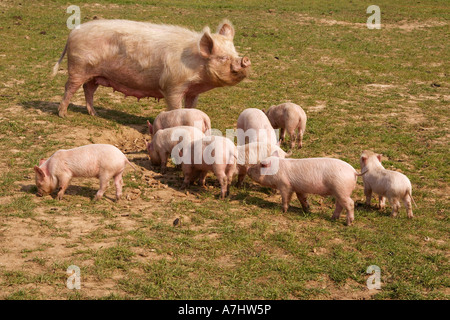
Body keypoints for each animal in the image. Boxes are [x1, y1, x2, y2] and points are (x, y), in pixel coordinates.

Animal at [52, 18, 251, 117]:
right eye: (223, 57)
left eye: (235, 52)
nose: (245, 59)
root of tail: (72, 33)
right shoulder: (172, 85)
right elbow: (175, 107)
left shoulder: (194, 91)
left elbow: (192, 107)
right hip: (78, 67)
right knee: (70, 87)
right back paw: (64, 115)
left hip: (96, 74)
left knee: (88, 88)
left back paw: (94, 114)